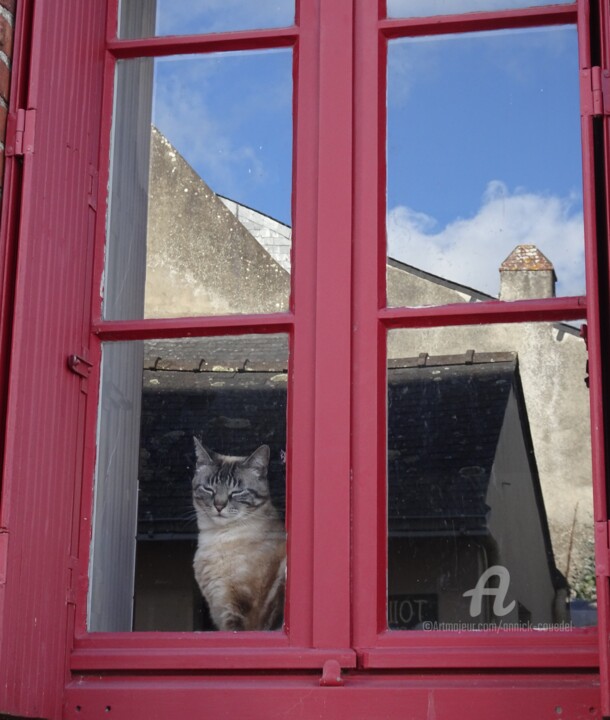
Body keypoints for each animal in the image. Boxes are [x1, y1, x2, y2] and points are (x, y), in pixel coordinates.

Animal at [191, 434, 286, 632]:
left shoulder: (237, 608)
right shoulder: (221, 608)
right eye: (209, 489)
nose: (219, 506)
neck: (217, 538)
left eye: (237, 492)